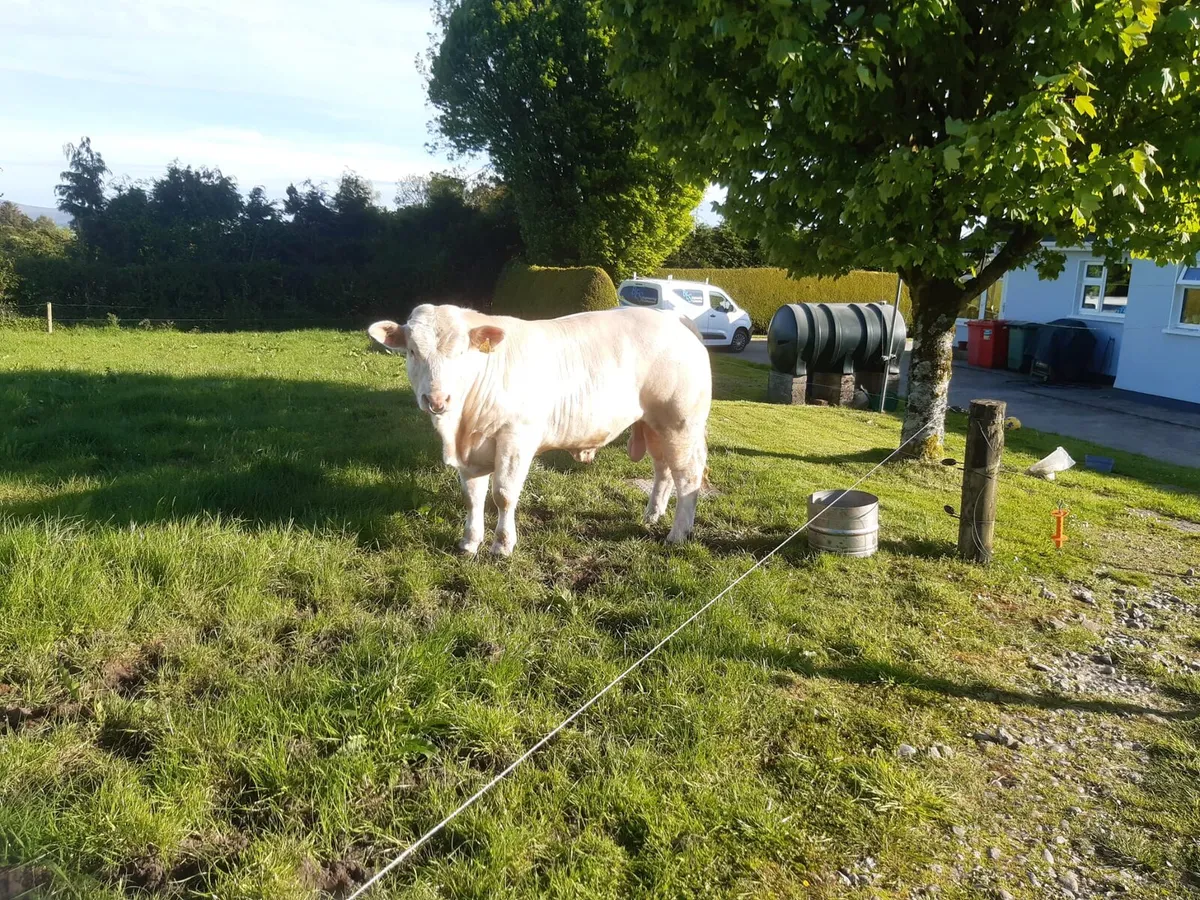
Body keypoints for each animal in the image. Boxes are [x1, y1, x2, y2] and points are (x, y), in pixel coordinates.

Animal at [368, 303, 711, 556]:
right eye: (413, 351)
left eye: (461, 351)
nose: (437, 399)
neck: (460, 427)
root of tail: (673, 317)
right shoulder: (471, 453)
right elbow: (472, 496)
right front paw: (469, 542)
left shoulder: (516, 438)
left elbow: (504, 494)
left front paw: (502, 545)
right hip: (654, 425)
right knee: (663, 469)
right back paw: (652, 514)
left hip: (680, 423)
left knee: (688, 476)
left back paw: (678, 533)